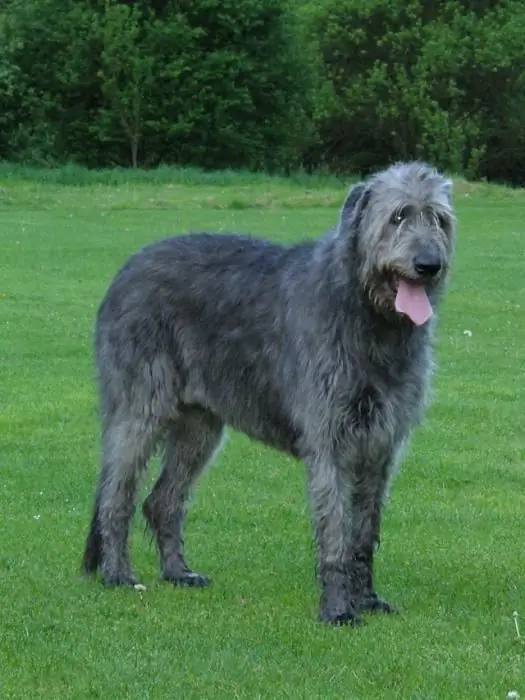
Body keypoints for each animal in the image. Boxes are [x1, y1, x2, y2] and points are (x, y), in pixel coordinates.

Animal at [82, 163, 454, 624]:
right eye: (398, 216)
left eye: (439, 219)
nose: (428, 264)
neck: (368, 314)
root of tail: (126, 267)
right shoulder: (328, 438)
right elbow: (335, 529)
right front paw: (338, 609)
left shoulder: (381, 445)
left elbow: (364, 531)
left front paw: (367, 598)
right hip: (140, 406)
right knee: (116, 493)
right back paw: (117, 573)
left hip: (200, 425)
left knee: (162, 500)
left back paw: (178, 572)